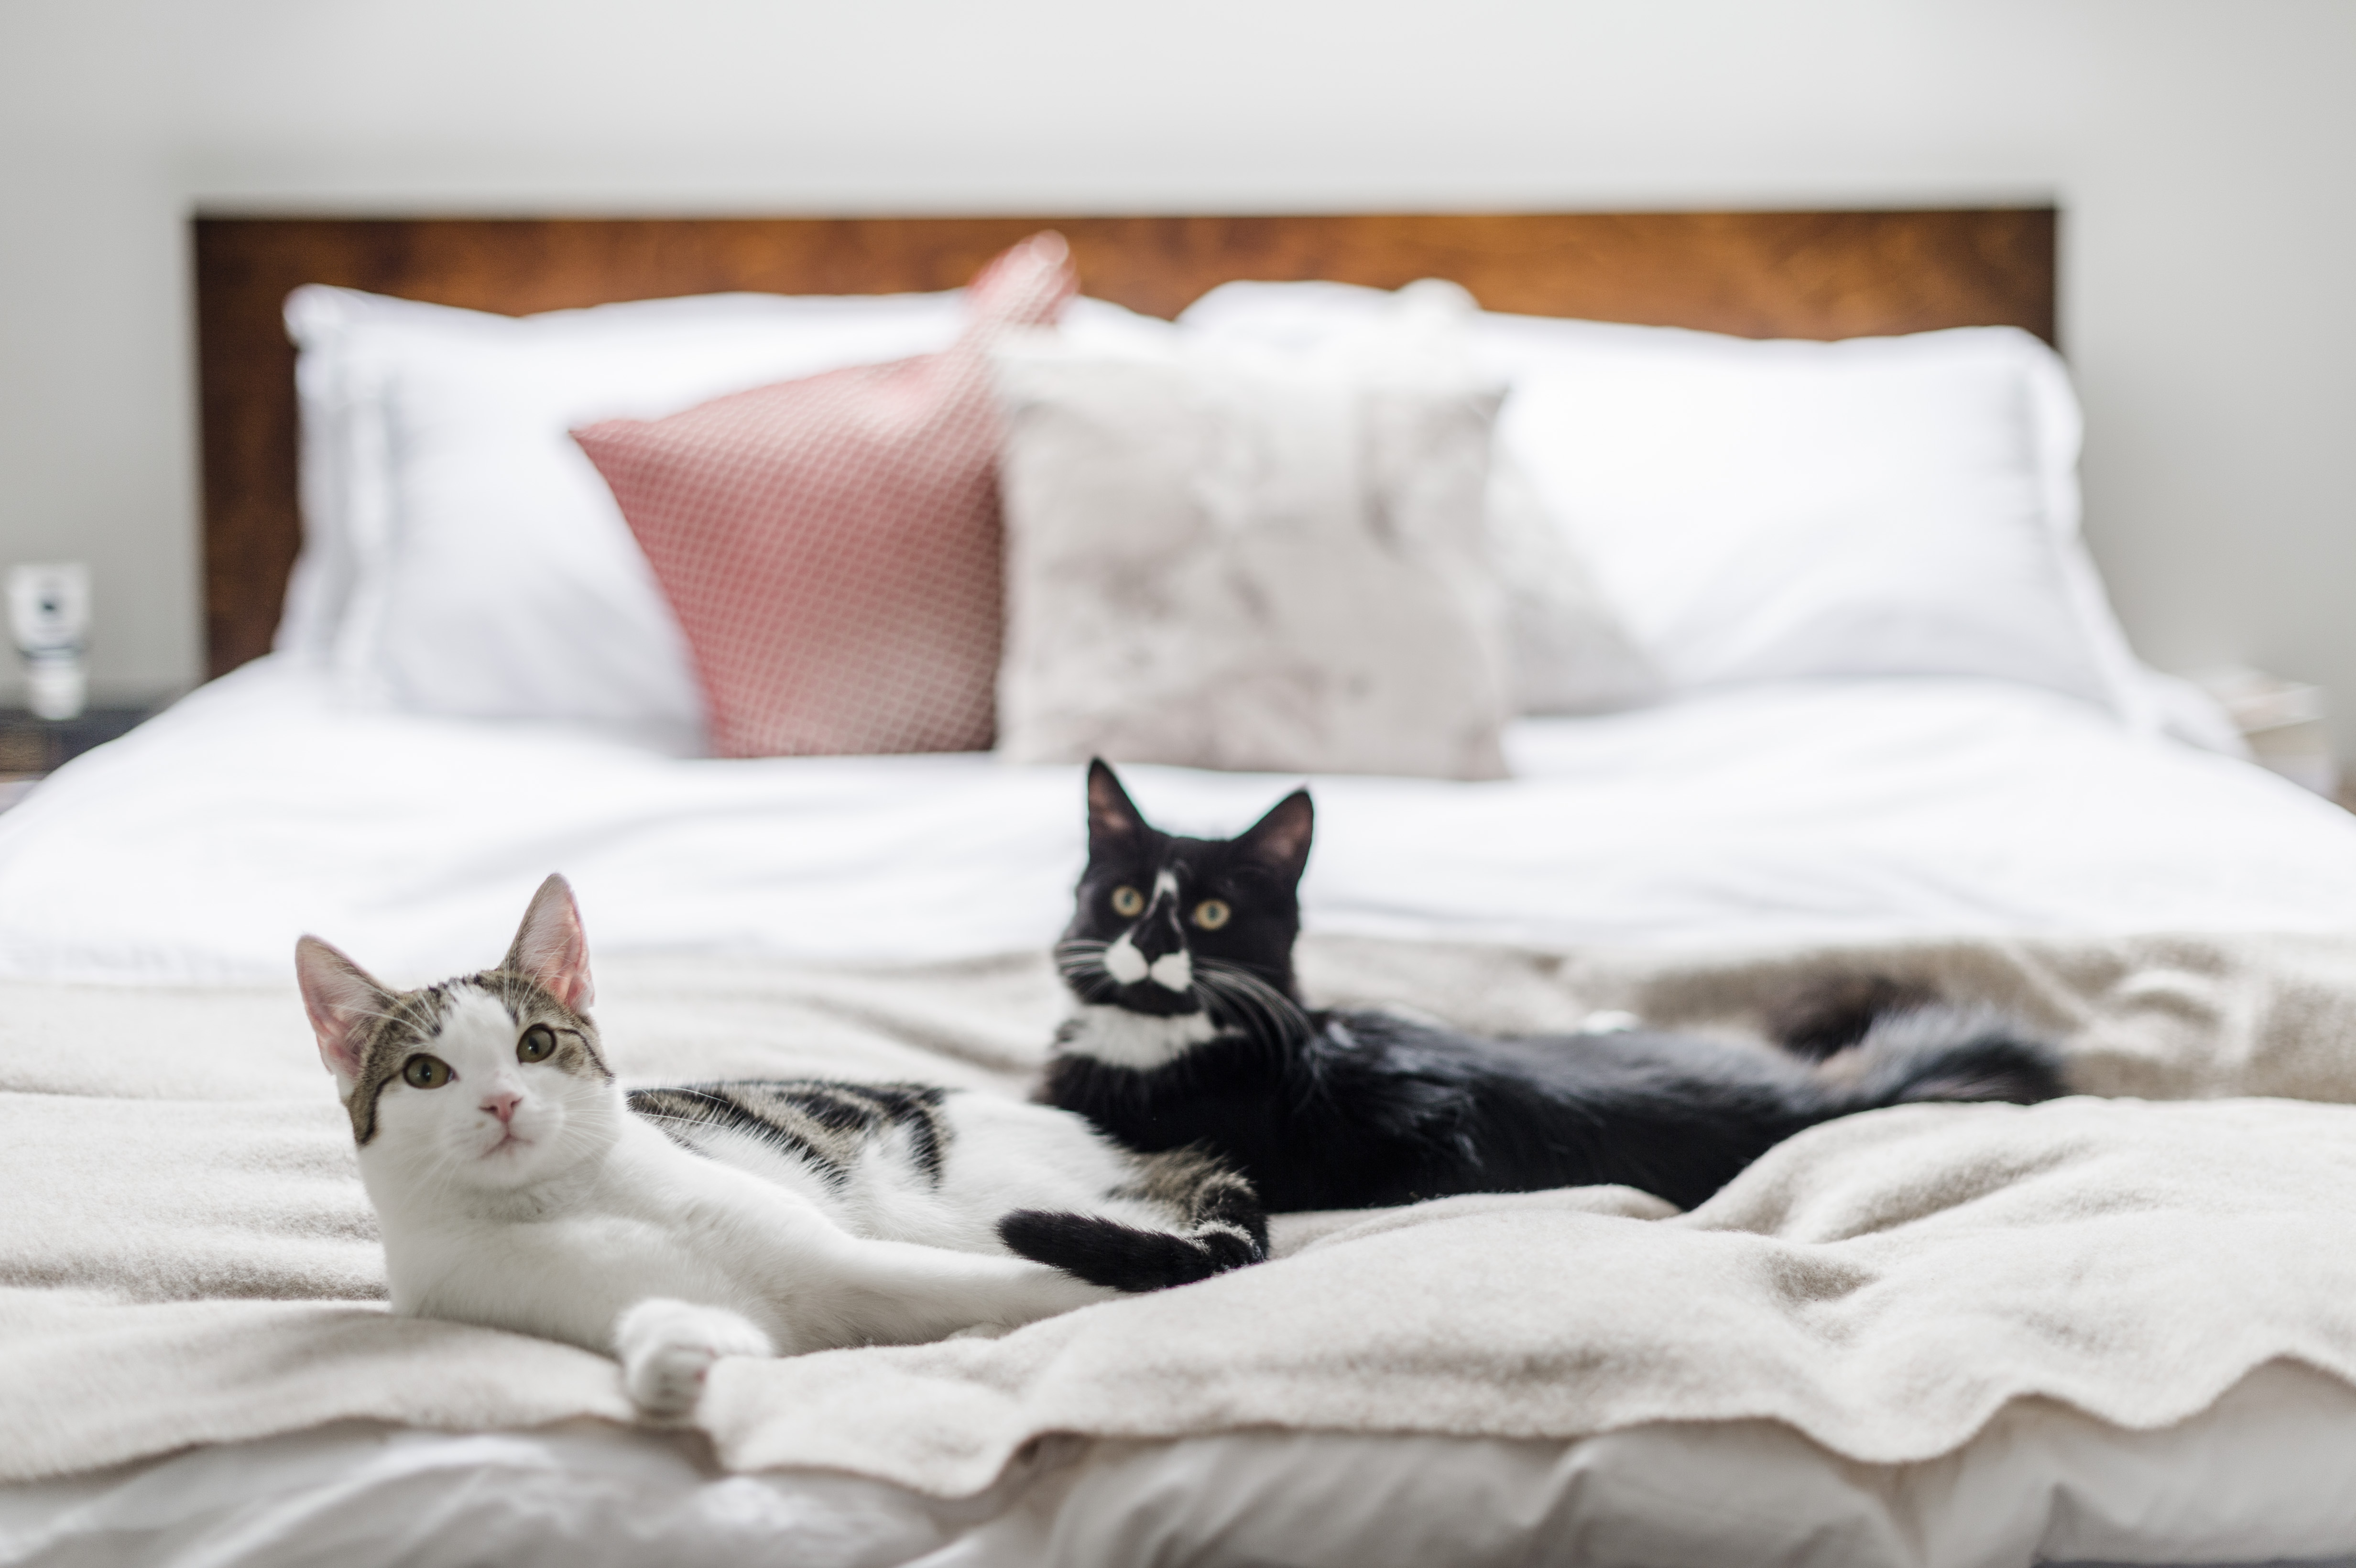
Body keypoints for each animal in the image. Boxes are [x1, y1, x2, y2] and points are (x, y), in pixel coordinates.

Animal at [299, 871, 1272, 1412]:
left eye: (534, 1046)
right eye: (426, 1073)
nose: (502, 1102)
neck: (563, 1198)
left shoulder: (849, 1259)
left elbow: (1040, 1286)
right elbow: (687, 1324)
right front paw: (674, 1360)